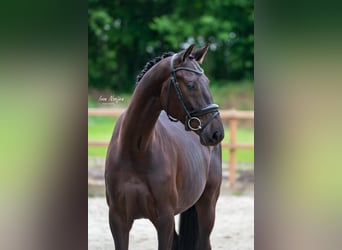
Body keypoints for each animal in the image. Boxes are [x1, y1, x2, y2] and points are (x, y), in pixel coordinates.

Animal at [105, 44, 226, 249]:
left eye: (208, 82)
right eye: (191, 85)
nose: (217, 132)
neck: (135, 151)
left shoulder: (164, 219)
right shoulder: (118, 220)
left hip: (207, 206)